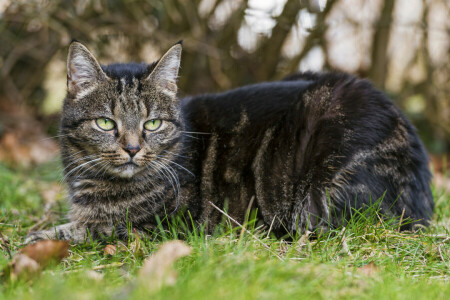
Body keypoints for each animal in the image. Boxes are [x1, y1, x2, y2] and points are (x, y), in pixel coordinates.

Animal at [24, 41, 432, 244]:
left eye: (152, 123)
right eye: (106, 123)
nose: (132, 148)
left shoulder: (167, 227)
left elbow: (93, 229)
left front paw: (37, 237)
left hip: (315, 197)